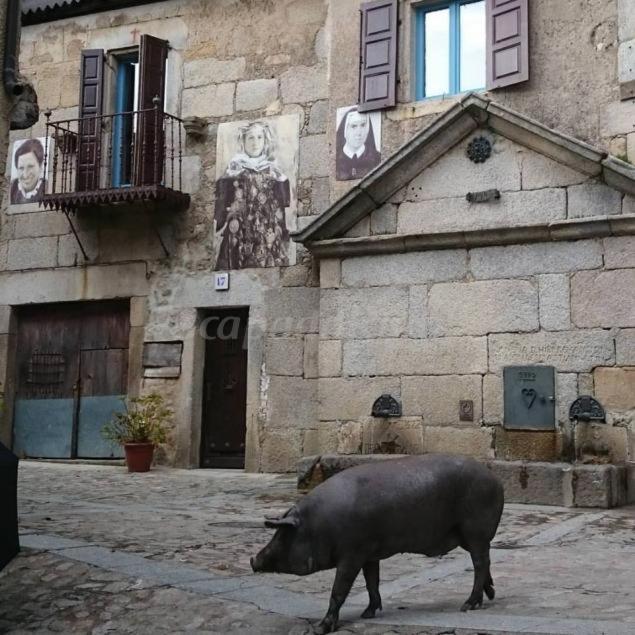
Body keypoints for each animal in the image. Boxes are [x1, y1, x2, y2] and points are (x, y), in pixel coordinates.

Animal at [251, 454, 504, 632]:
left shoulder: (351, 554)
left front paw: (321, 628)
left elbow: (339, 589)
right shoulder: (368, 553)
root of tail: (495, 479)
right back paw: (488, 595)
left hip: (475, 530)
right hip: (468, 536)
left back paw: (467, 605)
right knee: (485, 563)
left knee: (480, 563)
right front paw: (368, 613)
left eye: (283, 534)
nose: (253, 559)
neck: (319, 525)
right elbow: (372, 581)